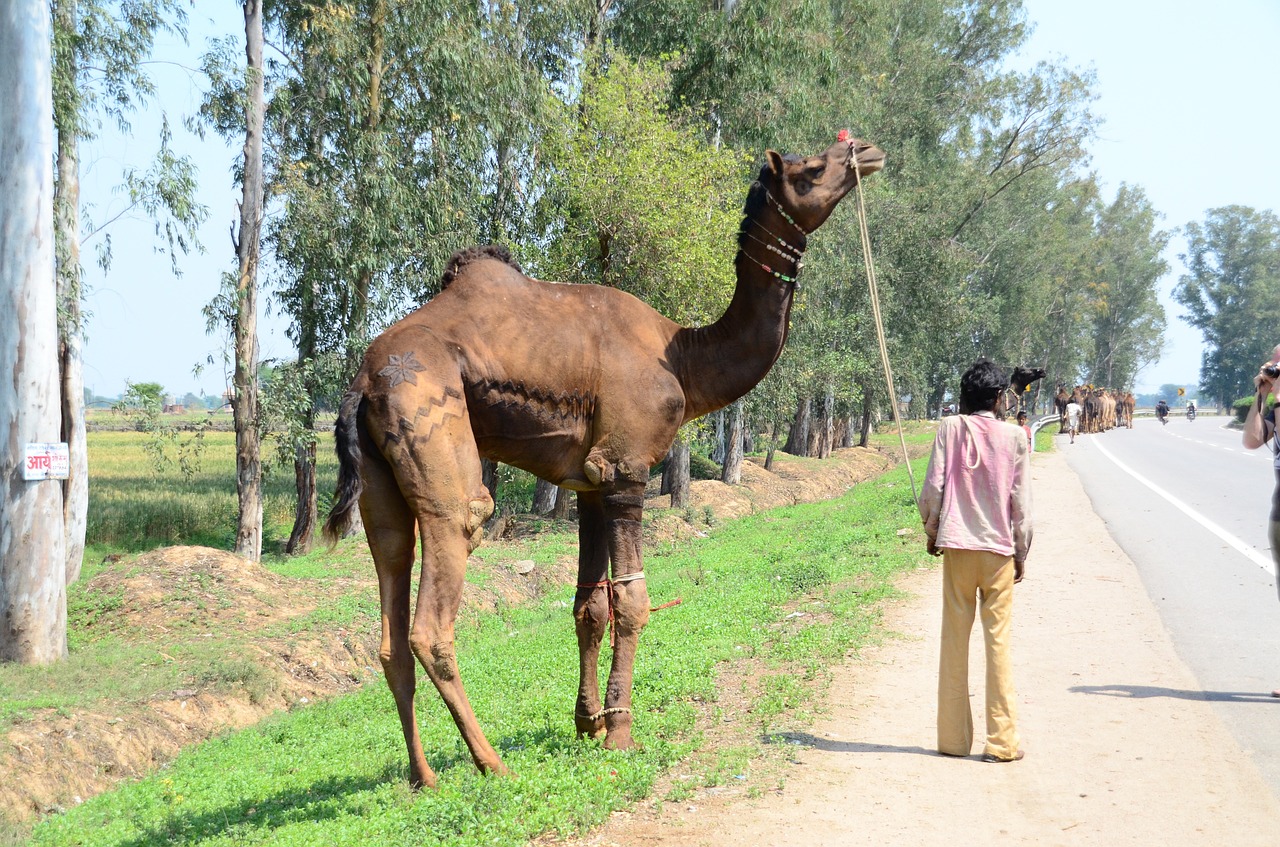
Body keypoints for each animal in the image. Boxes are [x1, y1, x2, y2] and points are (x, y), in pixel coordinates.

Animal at [320, 133, 885, 788]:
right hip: (431, 430)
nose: (867, 151)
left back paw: (424, 778)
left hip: (383, 485)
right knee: (440, 596)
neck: (683, 359)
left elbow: (589, 606)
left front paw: (587, 723)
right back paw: (492, 763)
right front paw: (620, 732)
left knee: (390, 596)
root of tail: (361, 384)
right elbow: (632, 602)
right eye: (811, 168)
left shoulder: (587, 482)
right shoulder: (626, 470)